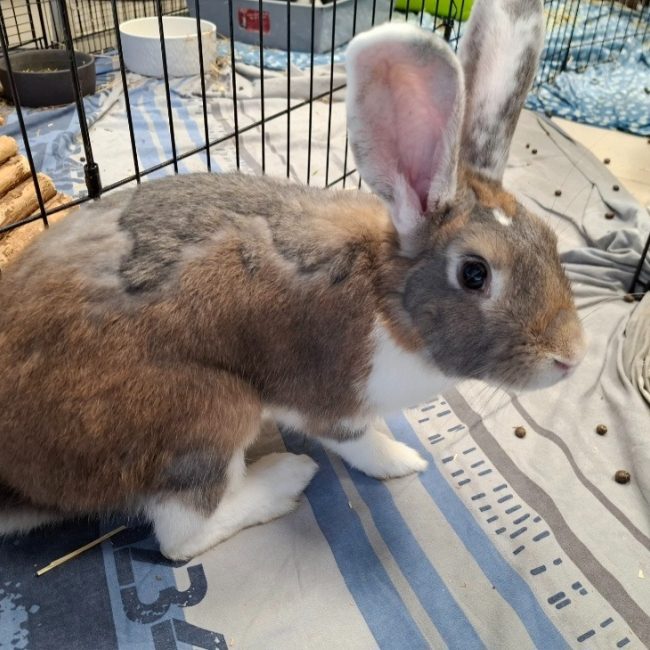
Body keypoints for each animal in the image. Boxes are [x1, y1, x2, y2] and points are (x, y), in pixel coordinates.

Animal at [0, 0, 585, 561]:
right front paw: (402, 460)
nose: (570, 358)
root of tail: (20, 480)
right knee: (181, 535)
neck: (389, 300)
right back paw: (285, 479)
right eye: (474, 273)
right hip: (206, 414)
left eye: (549, 240)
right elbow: (358, 443)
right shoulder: (331, 401)